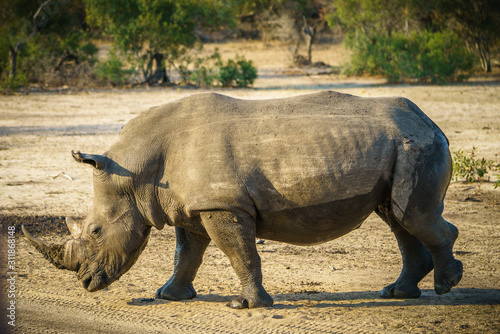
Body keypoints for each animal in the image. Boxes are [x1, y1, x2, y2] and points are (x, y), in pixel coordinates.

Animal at [22, 90, 460, 308]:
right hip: (400, 146)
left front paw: (246, 306)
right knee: (397, 216)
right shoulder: (193, 206)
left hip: (416, 145)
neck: (135, 171)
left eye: (96, 231)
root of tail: (431, 121)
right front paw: (168, 296)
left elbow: (238, 252)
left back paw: (446, 285)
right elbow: (187, 253)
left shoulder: (222, 204)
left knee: (411, 216)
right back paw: (398, 293)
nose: (86, 283)